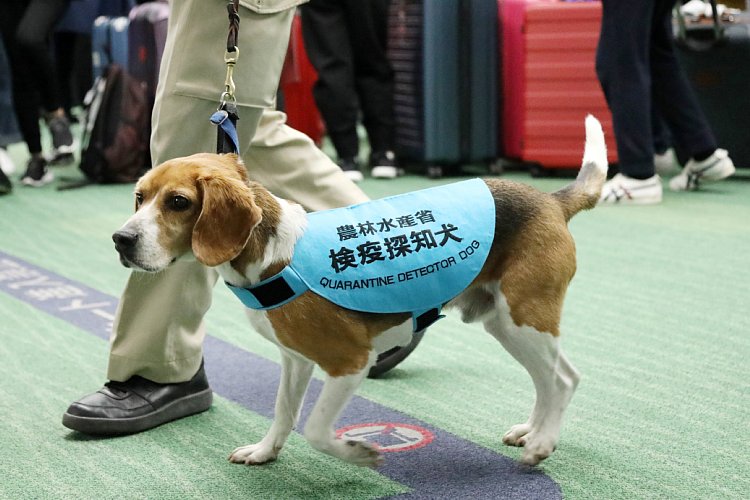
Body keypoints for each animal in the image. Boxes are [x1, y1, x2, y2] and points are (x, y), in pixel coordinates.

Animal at [114, 115, 612, 466]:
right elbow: (283, 412)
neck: (270, 253)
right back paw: (533, 431)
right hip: (507, 324)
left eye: (179, 202)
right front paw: (265, 451)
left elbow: (316, 428)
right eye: (139, 197)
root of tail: (551, 200)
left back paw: (542, 443)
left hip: (525, 317)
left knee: (564, 379)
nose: (122, 239)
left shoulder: (349, 361)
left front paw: (358, 453)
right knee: (550, 379)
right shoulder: (295, 360)